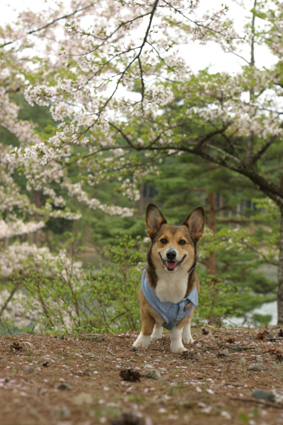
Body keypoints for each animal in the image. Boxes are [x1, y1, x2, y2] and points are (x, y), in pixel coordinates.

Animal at [133, 204, 204, 352]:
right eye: (163, 240)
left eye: (182, 242)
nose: (171, 254)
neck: (170, 278)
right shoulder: (145, 310)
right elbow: (146, 328)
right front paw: (141, 343)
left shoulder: (183, 310)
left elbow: (177, 332)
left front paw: (178, 347)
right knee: (158, 324)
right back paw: (156, 335)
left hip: (192, 305)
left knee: (188, 322)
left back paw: (187, 337)